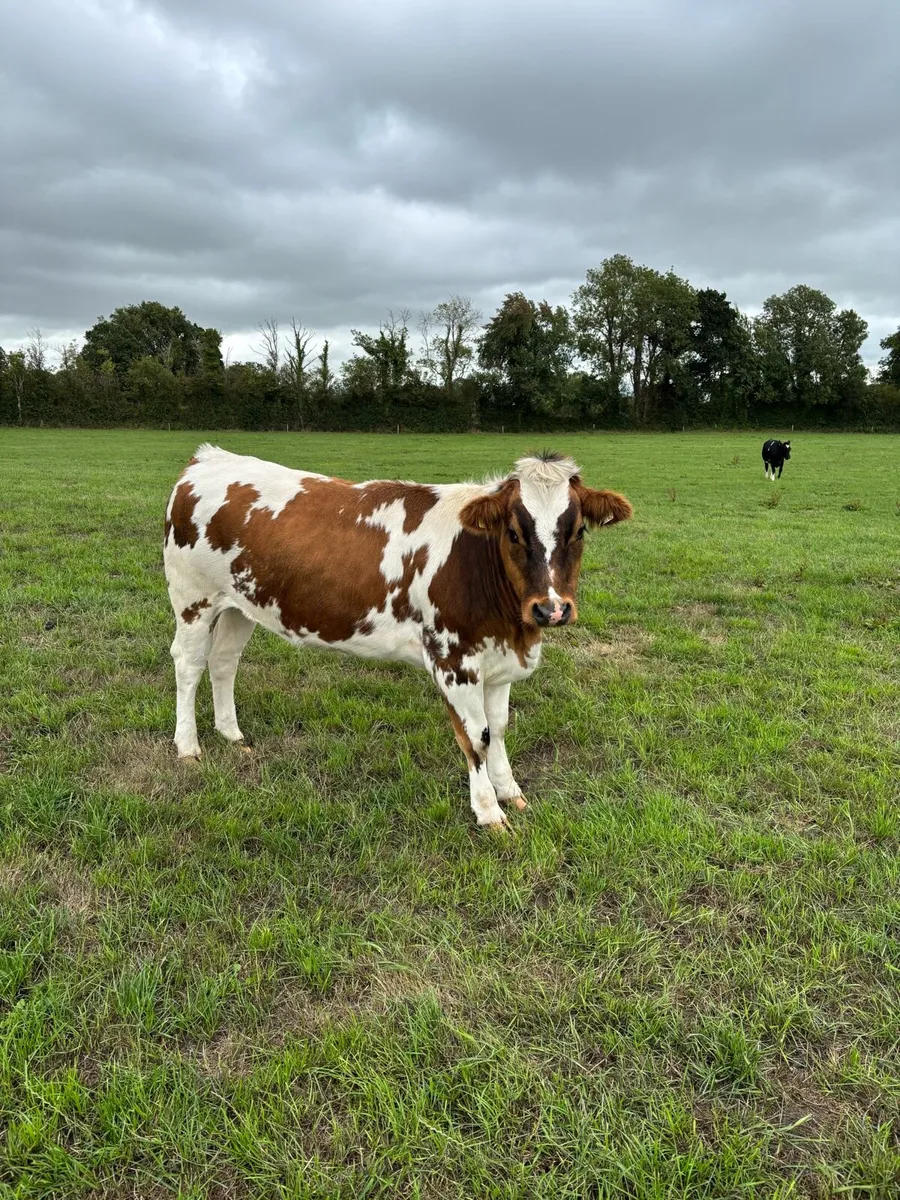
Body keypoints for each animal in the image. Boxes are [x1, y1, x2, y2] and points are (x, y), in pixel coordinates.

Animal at [163, 447, 632, 829]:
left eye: (579, 532)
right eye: (514, 532)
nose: (551, 609)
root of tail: (208, 458)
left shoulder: (498, 661)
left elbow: (497, 729)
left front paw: (510, 791)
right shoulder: (452, 659)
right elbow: (476, 736)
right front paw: (488, 811)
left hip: (240, 604)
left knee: (224, 662)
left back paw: (232, 734)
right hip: (193, 598)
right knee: (188, 665)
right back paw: (188, 746)